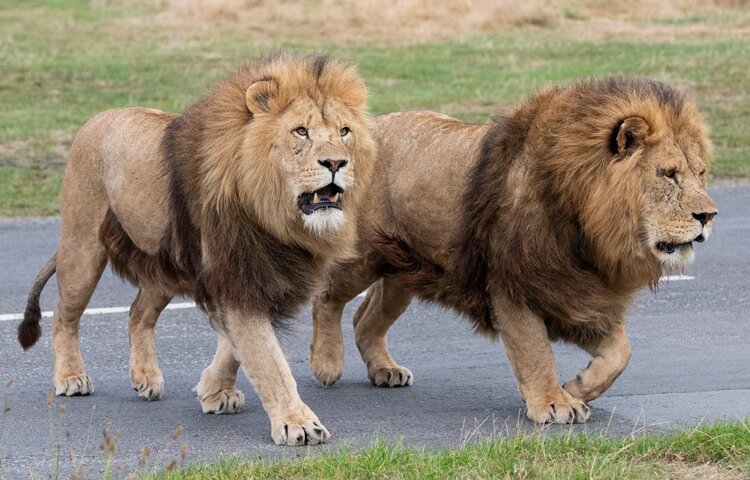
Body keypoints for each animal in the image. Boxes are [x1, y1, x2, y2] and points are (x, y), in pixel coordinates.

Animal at [19, 52, 376, 446]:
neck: (276, 216)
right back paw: (70, 377)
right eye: (301, 131)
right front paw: (296, 423)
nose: (336, 163)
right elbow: (267, 359)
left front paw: (214, 391)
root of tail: (97, 118)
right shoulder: (238, 275)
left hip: (164, 265)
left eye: (344, 132)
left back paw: (145, 377)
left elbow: (236, 348)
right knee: (64, 315)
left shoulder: (252, 277)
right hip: (82, 249)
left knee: (138, 313)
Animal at [308, 78, 720, 424]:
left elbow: (622, 351)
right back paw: (326, 362)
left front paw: (578, 387)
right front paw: (553, 403)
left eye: (700, 173)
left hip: (404, 272)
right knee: (326, 297)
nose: (708, 215)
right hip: (361, 257)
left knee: (365, 318)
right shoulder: (513, 285)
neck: (589, 229)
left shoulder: (579, 295)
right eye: (668, 174)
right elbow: (534, 349)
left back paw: (384, 369)